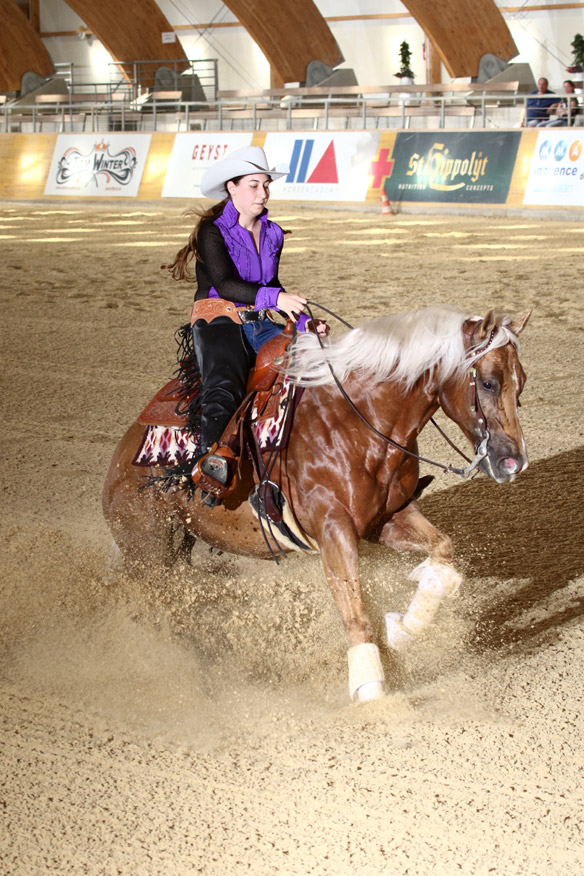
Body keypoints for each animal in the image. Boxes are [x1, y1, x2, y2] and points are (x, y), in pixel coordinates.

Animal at [104, 304, 528, 700]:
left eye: (521, 385)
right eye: (488, 383)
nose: (514, 462)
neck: (357, 421)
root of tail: (121, 455)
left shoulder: (387, 519)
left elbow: (443, 549)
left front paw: (404, 629)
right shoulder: (333, 531)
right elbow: (357, 618)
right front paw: (374, 697)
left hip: (176, 545)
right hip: (149, 550)